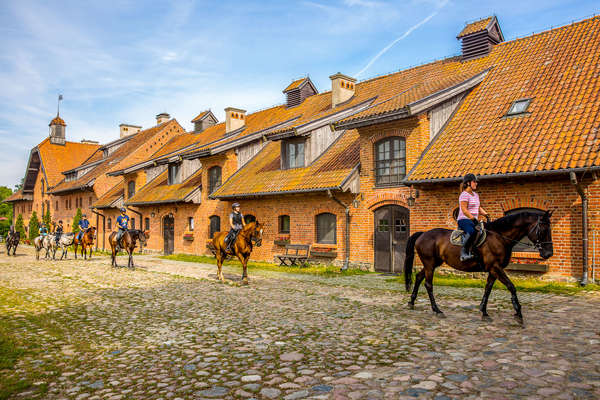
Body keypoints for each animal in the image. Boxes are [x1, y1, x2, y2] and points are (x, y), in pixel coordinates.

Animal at [404, 211, 552, 324]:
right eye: (543, 230)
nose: (549, 253)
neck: (499, 237)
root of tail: (423, 234)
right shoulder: (495, 267)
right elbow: (511, 286)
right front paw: (518, 312)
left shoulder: (493, 270)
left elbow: (488, 289)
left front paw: (484, 311)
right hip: (429, 263)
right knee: (428, 284)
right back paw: (437, 310)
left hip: (432, 264)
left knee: (418, 277)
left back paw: (411, 302)